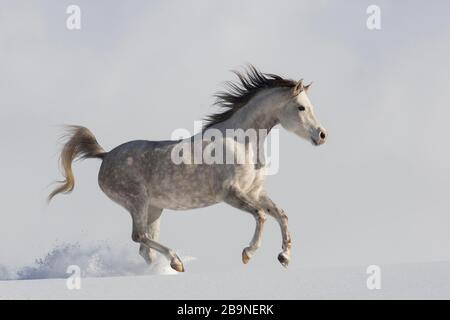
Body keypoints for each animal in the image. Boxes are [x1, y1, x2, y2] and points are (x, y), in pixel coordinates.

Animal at [48, 66, 326, 272]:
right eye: (301, 107)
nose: (322, 135)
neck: (241, 142)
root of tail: (105, 156)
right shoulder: (230, 194)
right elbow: (261, 215)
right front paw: (248, 253)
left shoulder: (255, 192)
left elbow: (281, 215)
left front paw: (284, 257)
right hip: (137, 201)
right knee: (139, 237)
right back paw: (176, 261)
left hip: (154, 209)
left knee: (144, 247)